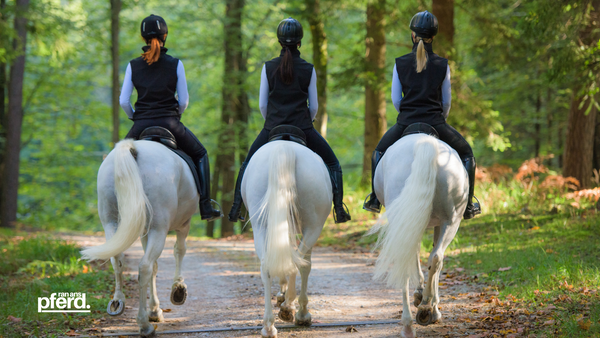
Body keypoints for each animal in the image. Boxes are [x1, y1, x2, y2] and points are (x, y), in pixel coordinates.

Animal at [241, 141, 330, 336]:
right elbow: (302, 265)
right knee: (300, 264)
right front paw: (295, 308)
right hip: (314, 226)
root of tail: (283, 146)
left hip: (260, 225)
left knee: (267, 266)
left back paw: (269, 325)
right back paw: (294, 310)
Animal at [368, 135, 472, 338]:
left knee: (415, 257)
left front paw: (423, 298)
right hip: (451, 221)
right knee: (434, 257)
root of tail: (425, 142)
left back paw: (411, 321)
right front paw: (429, 302)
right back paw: (423, 311)